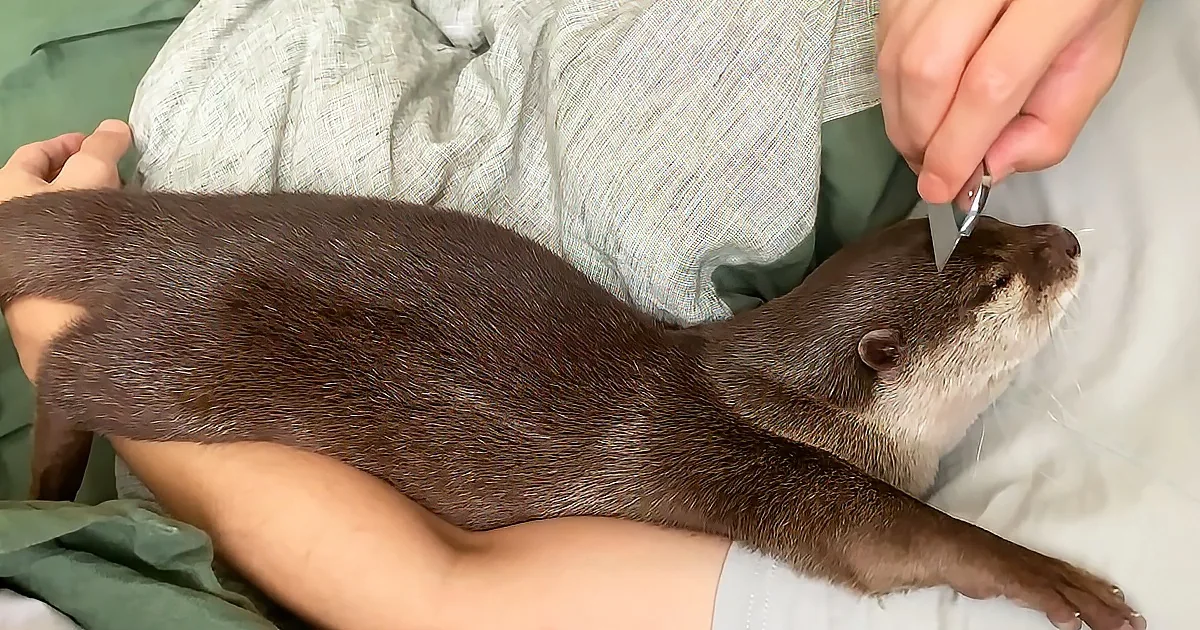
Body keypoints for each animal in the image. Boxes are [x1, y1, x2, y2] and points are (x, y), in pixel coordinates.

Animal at [0, 189, 1141, 630]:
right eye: (993, 282)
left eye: (1012, 224)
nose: (1068, 241)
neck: (780, 404)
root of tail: (177, 229)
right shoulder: (775, 485)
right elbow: (909, 542)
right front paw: (1068, 584)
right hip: (176, 370)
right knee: (65, 366)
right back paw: (46, 484)